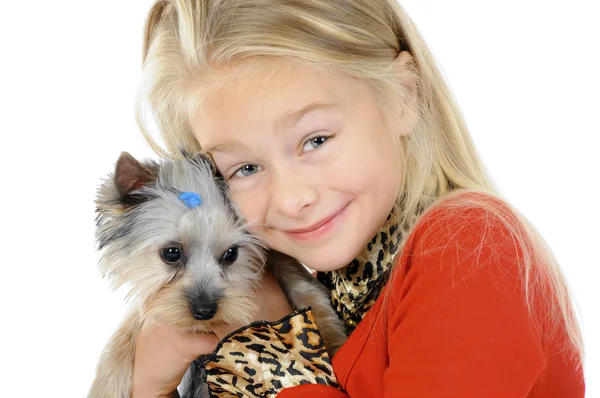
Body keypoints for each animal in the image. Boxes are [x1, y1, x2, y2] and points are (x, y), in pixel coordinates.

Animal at [86, 152, 344, 398]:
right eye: (171, 253)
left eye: (231, 254)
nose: (204, 310)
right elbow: (132, 322)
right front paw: (106, 386)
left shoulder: (282, 261)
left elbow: (304, 287)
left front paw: (331, 340)